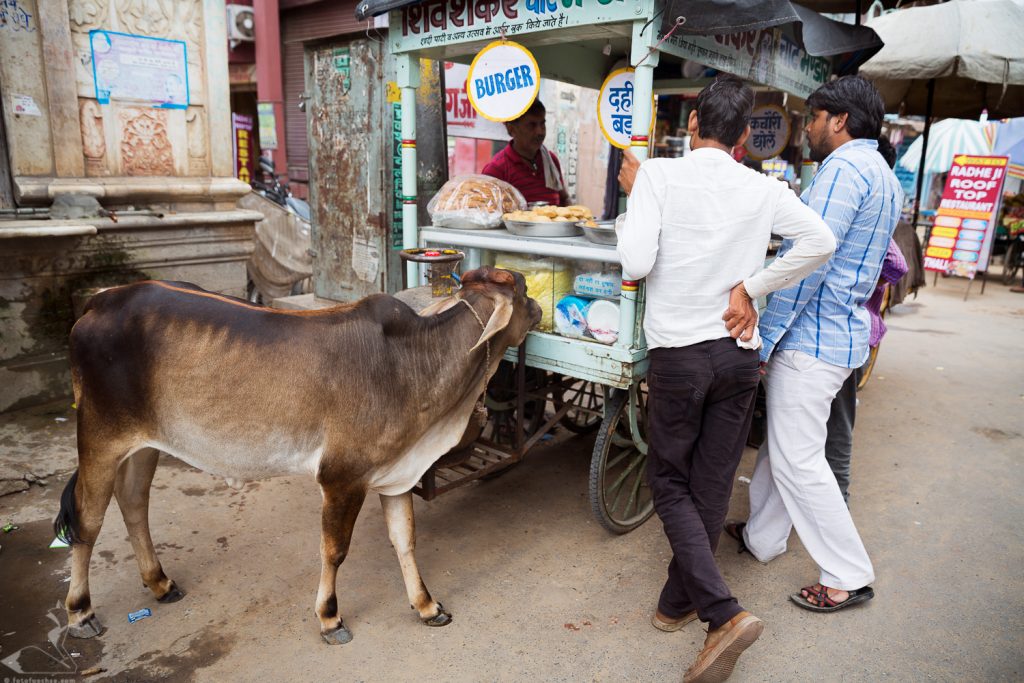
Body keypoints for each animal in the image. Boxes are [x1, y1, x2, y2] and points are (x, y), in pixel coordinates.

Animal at [54, 266, 544, 647]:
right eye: (521, 288)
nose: (540, 306)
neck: (412, 362)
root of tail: (103, 301)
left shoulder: (395, 474)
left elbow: (405, 540)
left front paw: (426, 606)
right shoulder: (342, 478)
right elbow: (335, 551)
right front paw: (329, 617)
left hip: (144, 445)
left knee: (134, 503)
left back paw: (160, 583)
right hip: (99, 436)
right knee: (88, 520)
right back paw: (80, 612)